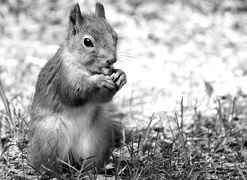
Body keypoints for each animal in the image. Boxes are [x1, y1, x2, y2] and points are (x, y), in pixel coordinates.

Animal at [28, 2, 126, 174]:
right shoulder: (63, 76)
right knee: (46, 165)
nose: (111, 60)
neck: (87, 68)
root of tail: (71, 157)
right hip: (50, 136)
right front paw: (98, 81)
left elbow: (102, 98)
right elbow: (73, 93)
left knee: (91, 165)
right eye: (87, 42)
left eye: (115, 36)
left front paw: (121, 75)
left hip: (100, 134)